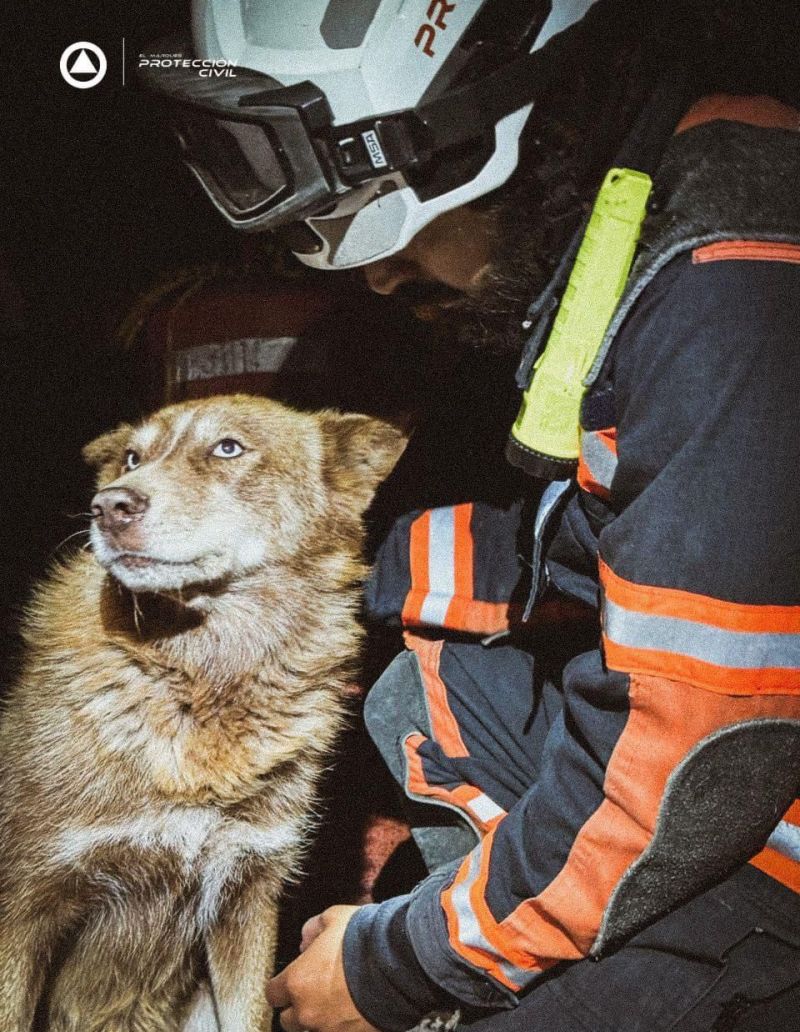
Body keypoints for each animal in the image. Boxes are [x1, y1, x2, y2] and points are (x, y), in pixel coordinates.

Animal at [0, 392, 406, 1032]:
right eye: (132, 458)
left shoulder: (249, 899)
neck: (199, 686)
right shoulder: (27, 906)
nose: (108, 506)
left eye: (228, 447)